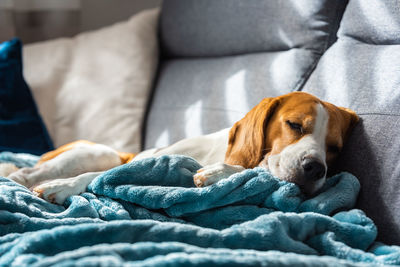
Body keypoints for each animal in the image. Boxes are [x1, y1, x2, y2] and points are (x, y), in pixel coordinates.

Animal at [4, 92, 358, 205]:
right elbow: (94, 176)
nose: (316, 168)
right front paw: (61, 187)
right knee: (26, 171)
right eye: (295, 125)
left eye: (334, 148)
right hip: (98, 152)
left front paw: (219, 173)